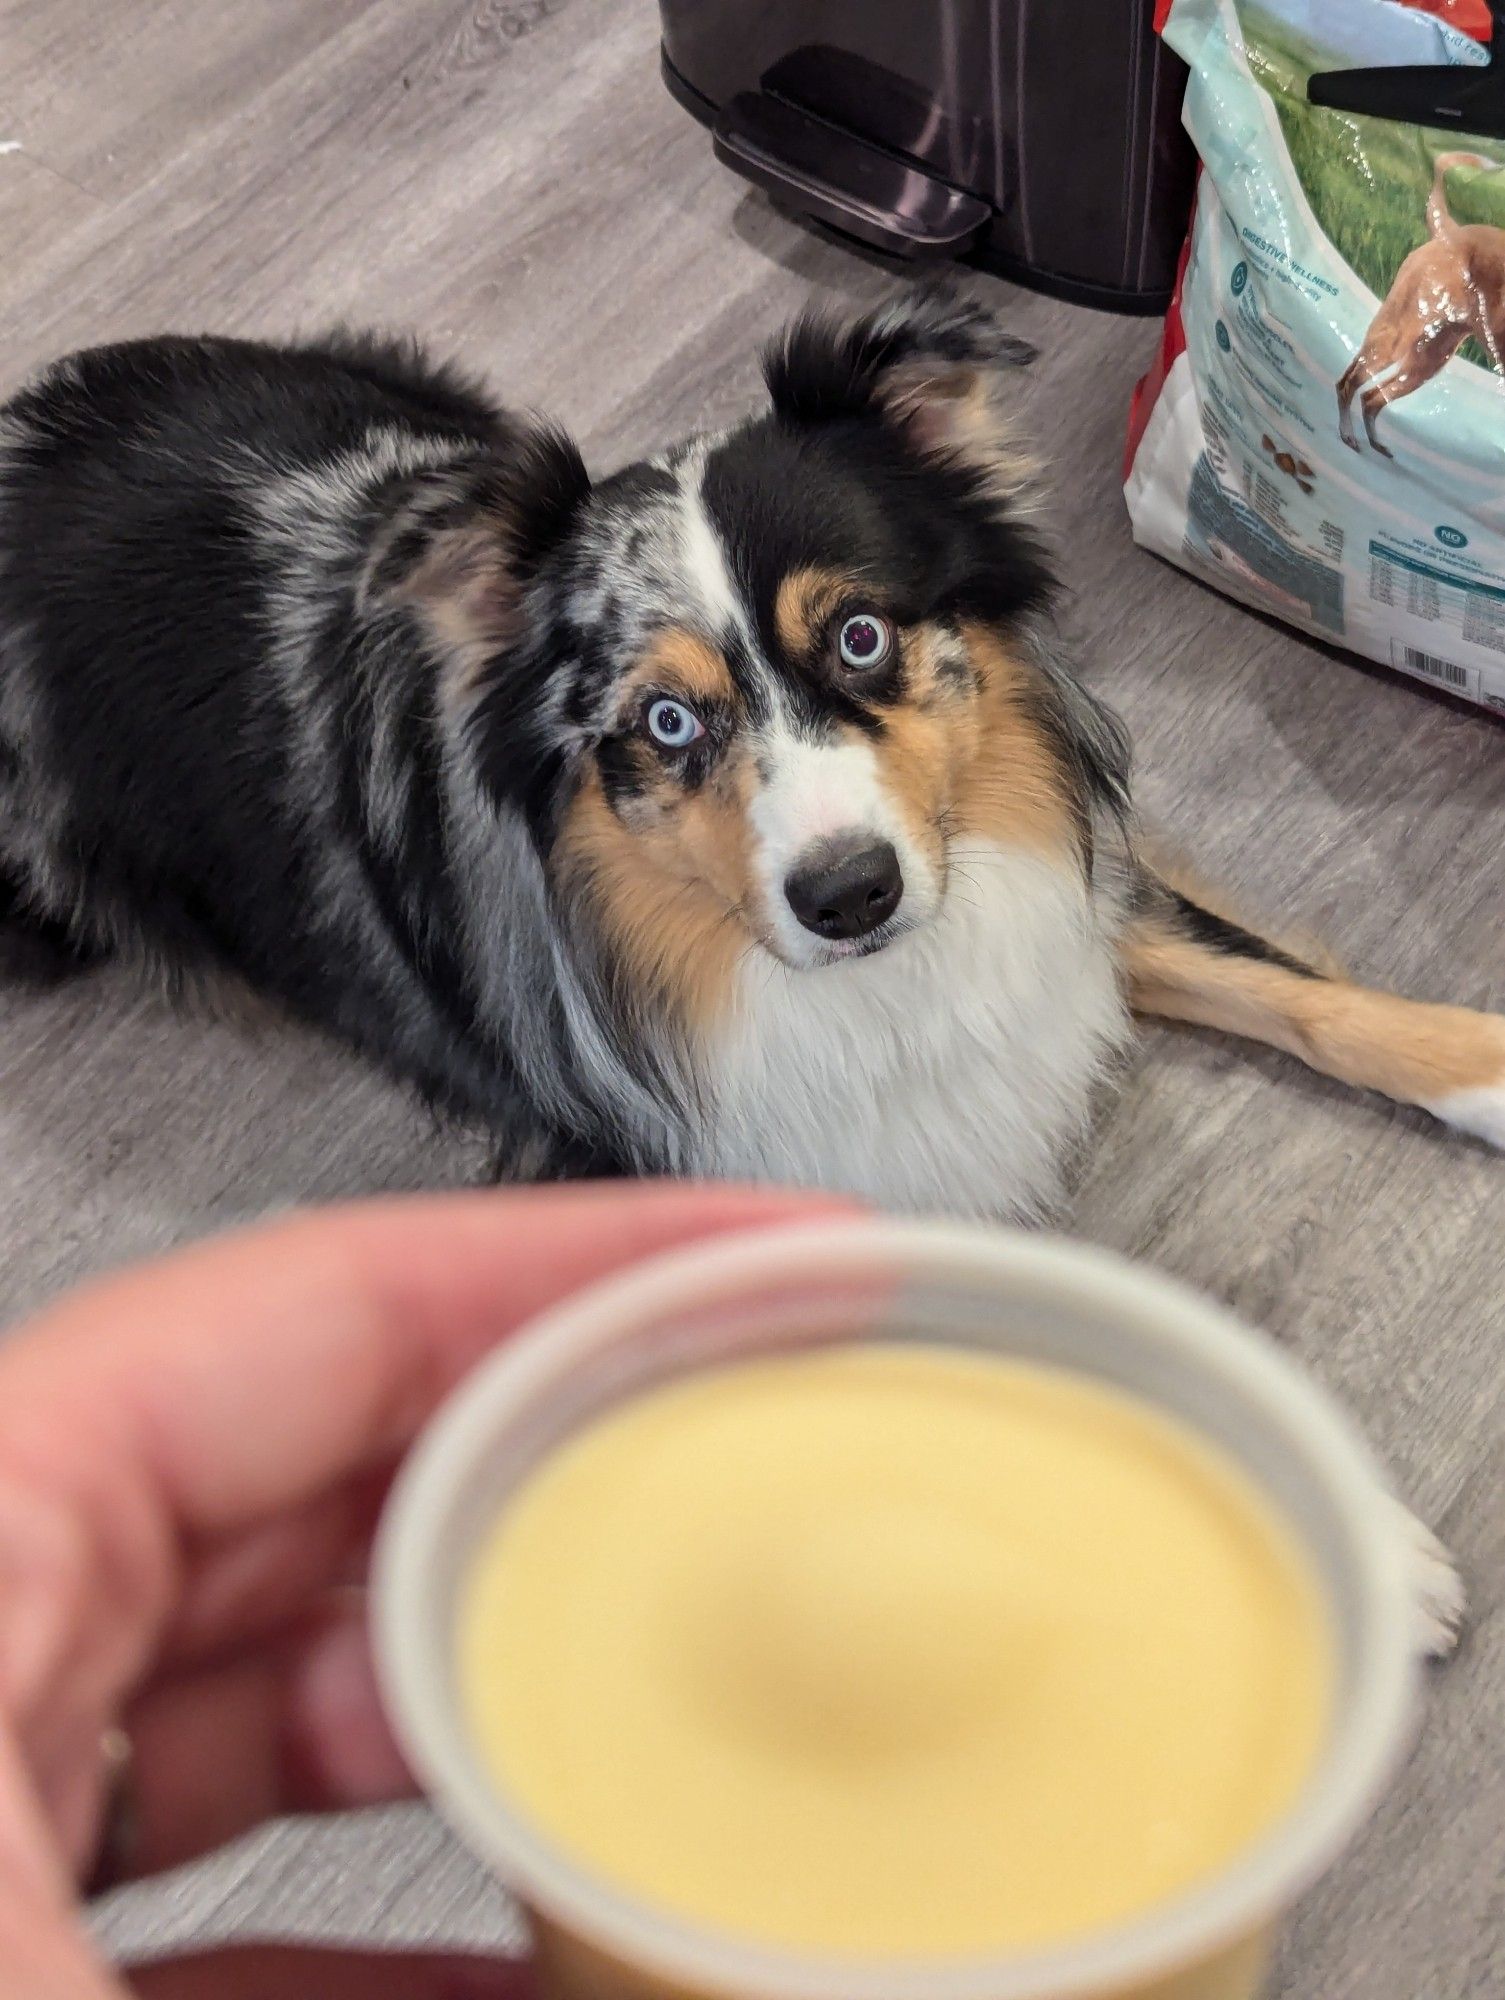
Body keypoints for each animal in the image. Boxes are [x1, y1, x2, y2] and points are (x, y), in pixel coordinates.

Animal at [1336, 151, 1505, 458]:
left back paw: (1375, 442)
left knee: (1371, 397)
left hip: (1426, 362)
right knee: (1349, 384)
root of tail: (1450, 232)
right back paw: (1348, 434)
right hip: (1397, 342)